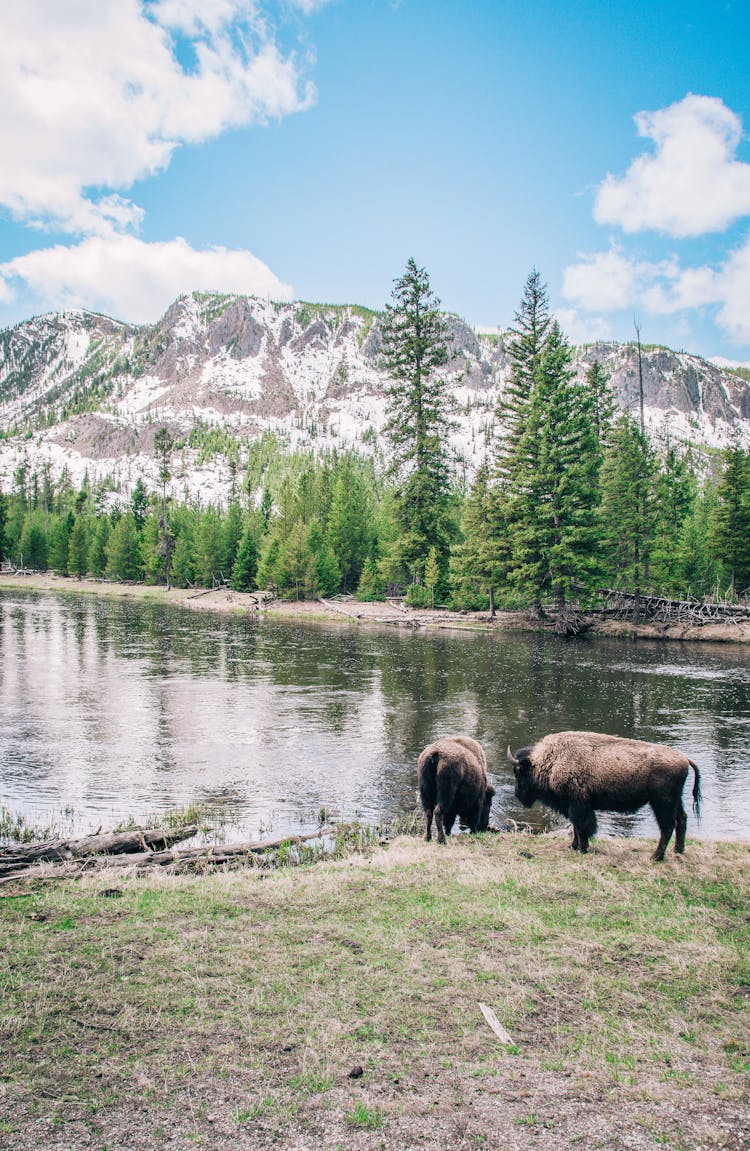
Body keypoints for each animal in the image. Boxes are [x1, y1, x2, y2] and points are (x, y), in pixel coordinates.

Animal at [506, 732, 699, 860]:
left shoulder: (579, 805)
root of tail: (685, 759)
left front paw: (582, 848)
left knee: (667, 827)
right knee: (682, 819)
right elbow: (575, 826)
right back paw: (678, 850)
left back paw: (656, 857)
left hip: (662, 802)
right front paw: (573, 846)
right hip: (675, 800)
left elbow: (582, 827)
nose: (517, 794)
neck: (552, 760)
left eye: (519, 771)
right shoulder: (572, 806)